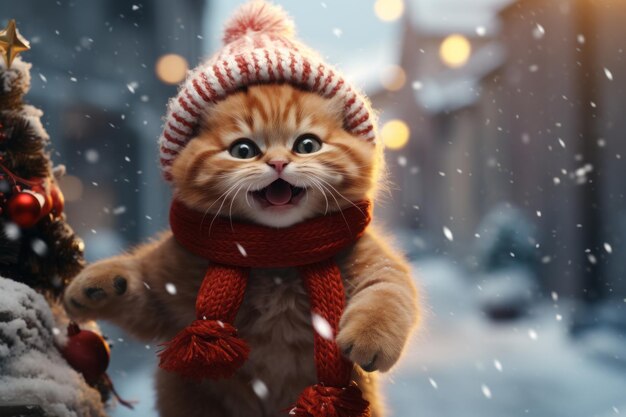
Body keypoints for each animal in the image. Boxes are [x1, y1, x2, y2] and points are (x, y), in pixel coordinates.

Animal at [63, 84, 416, 416]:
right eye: (243, 150)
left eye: (307, 145)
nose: (278, 162)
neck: (276, 262)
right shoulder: (168, 286)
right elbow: (140, 286)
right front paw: (96, 286)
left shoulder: (375, 262)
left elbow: (388, 295)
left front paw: (371, 337)